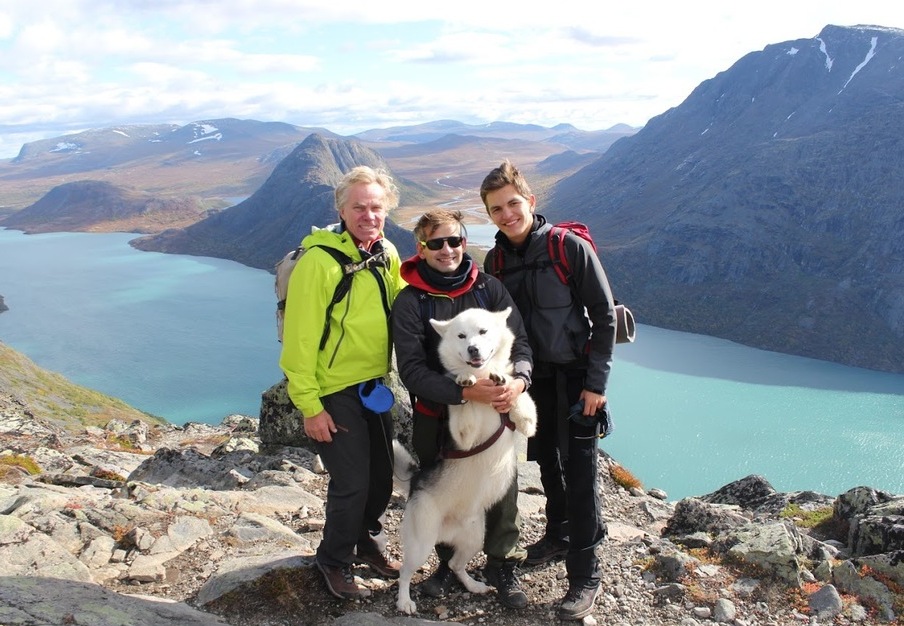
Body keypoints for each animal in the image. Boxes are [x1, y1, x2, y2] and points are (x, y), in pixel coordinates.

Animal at [396, 304, 536, 612]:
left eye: (483, 331)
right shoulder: (464, 436)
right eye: (461, 336)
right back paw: (404, 601)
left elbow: (523, 407)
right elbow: (464, 401)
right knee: (405, 571)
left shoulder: (524, 418)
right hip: (421, 544)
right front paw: (465, 382)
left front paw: (505, 384)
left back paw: (474, 586)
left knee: (456, 565)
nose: (473, 349)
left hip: (474, 539)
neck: (483, 376)